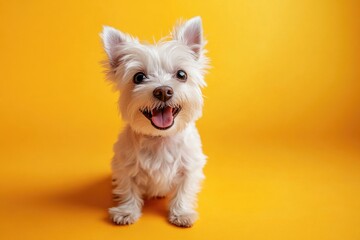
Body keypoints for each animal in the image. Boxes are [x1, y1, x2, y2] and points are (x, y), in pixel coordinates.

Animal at [100, 16, 208, 227]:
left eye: (181, 74)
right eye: (139, 77)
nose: (163, 91)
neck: (160, 138)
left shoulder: (190, 167)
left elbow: (184, 191)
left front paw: (181, 213)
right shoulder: (124, 167)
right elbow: (128, 189)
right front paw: (126, 211)